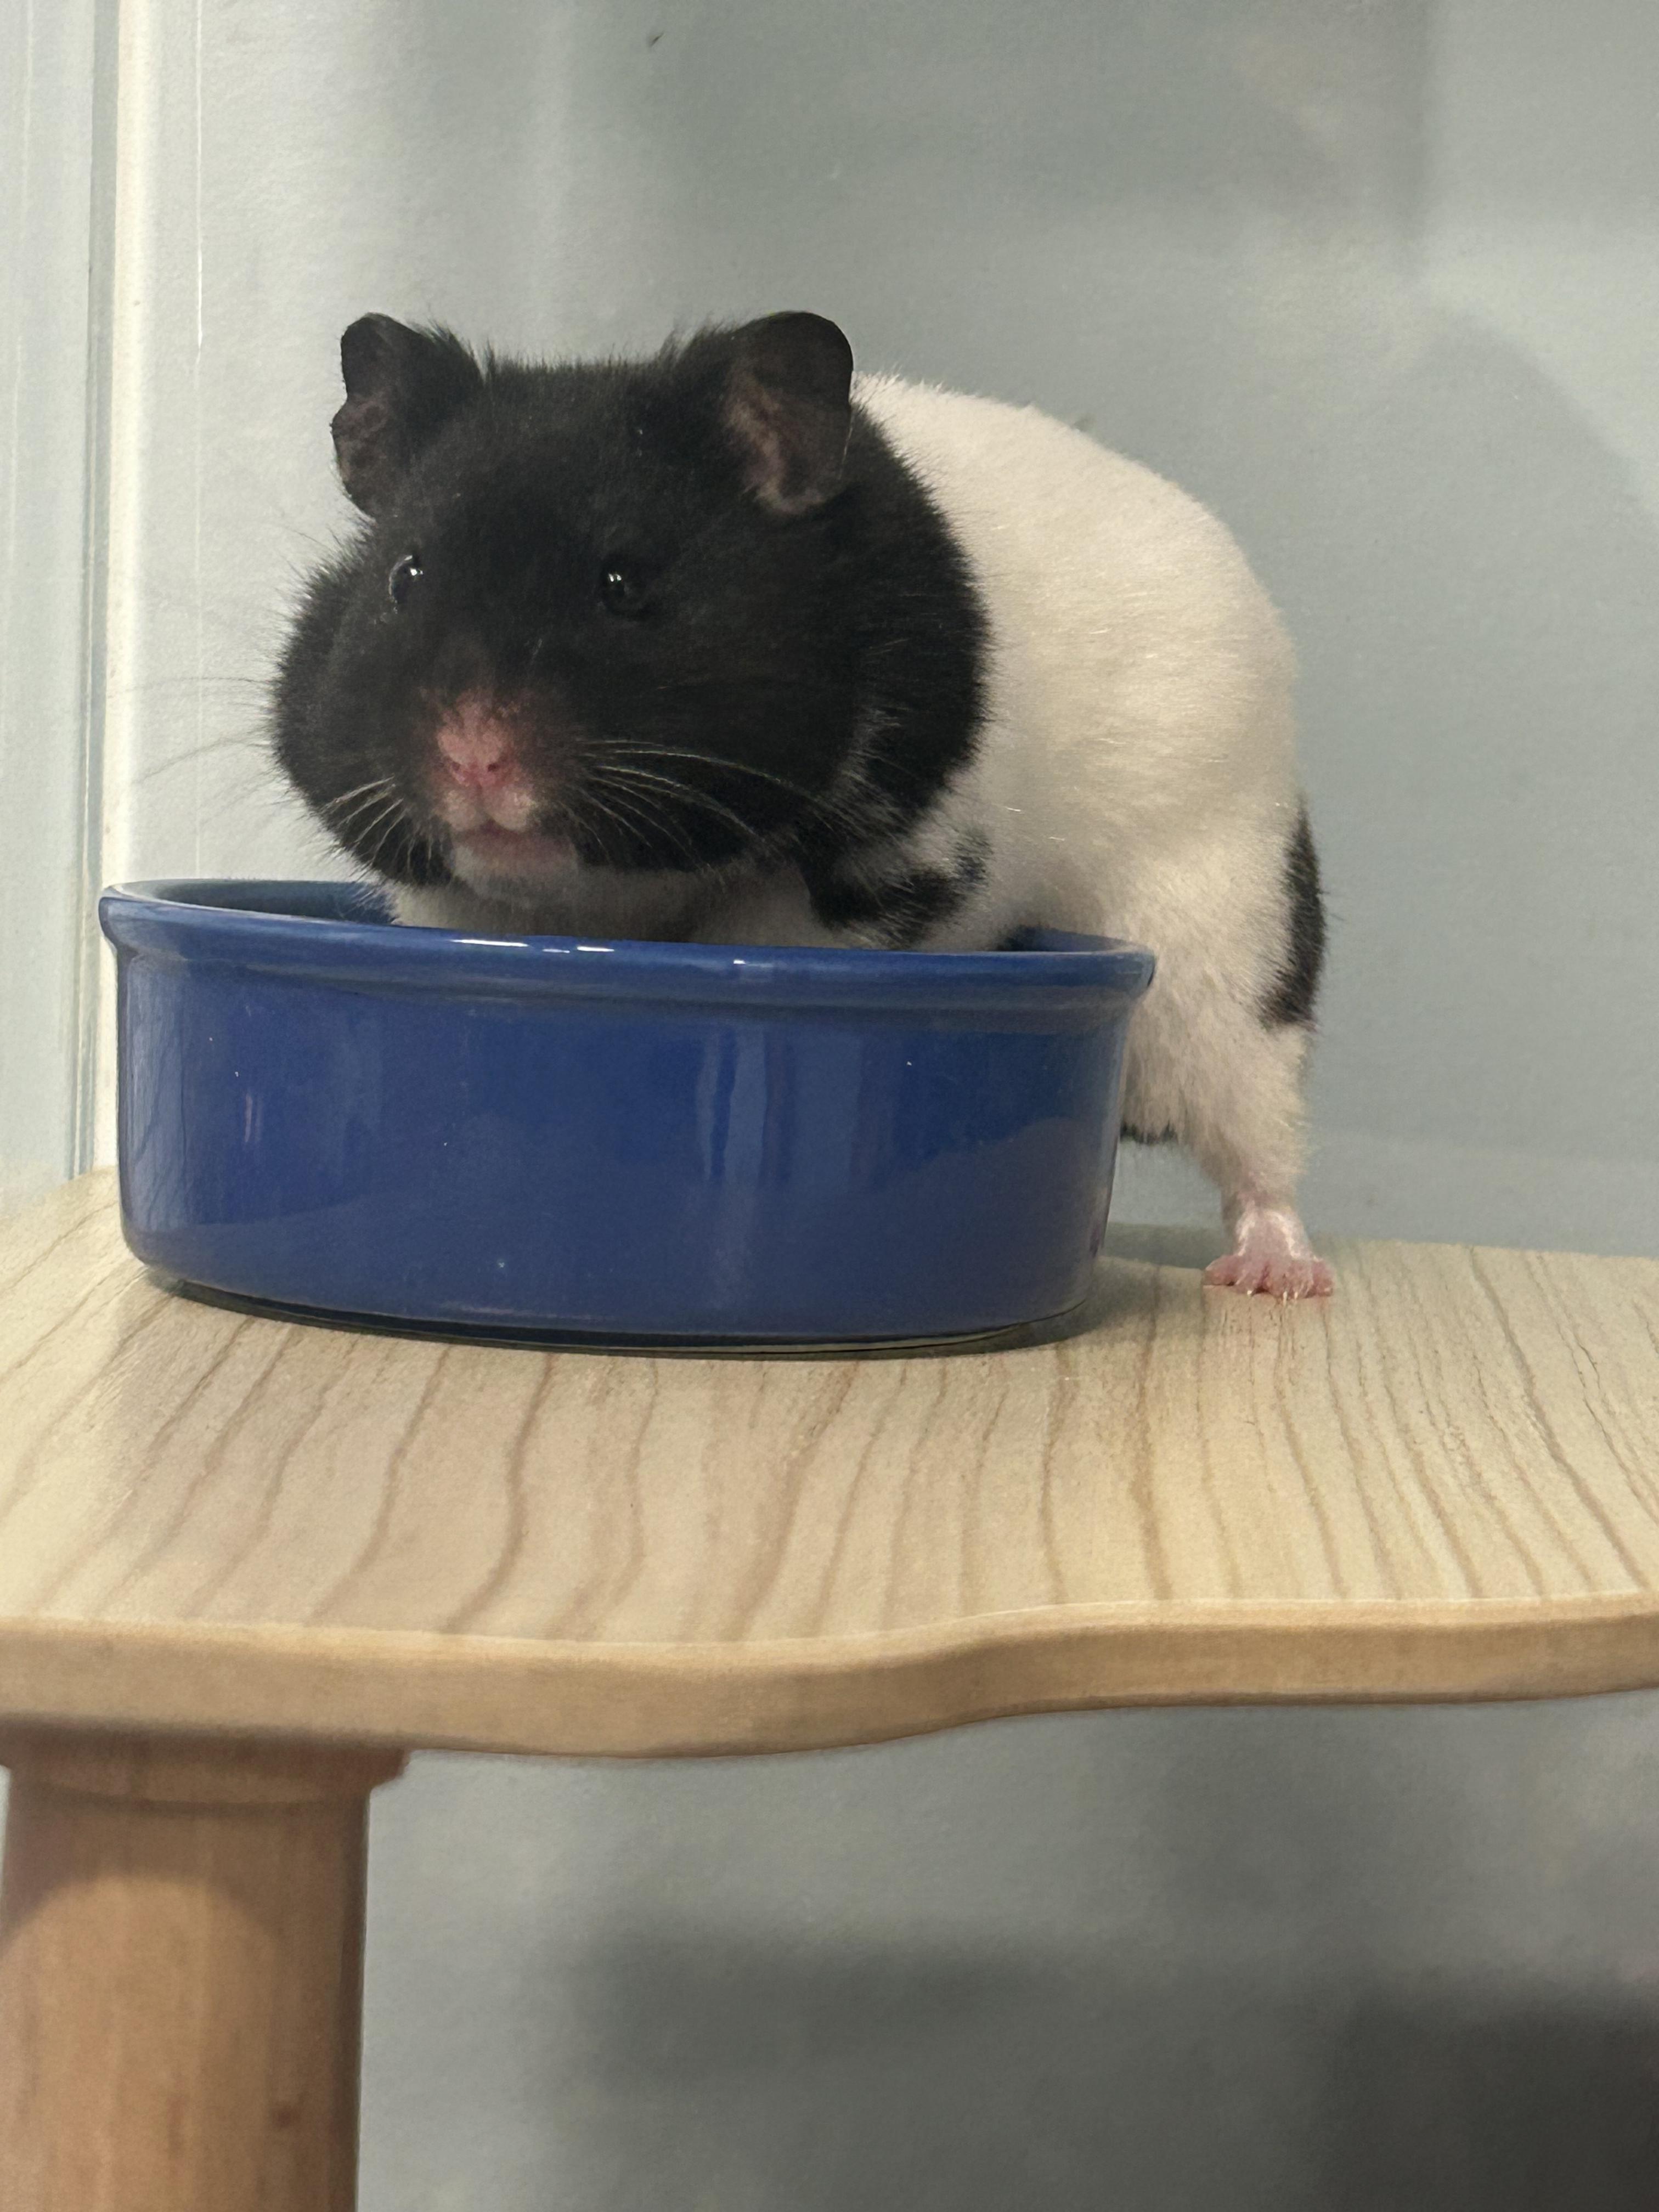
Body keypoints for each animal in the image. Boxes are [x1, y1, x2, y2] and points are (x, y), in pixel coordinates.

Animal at [274, 310, 1331, 1296]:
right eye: (404, 578)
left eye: (623, 583)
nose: (474, 758)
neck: (627, 884)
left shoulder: (883, 878)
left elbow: (763, 936)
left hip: (1224, 956)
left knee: (1259, 1143)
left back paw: (1274, 1277)